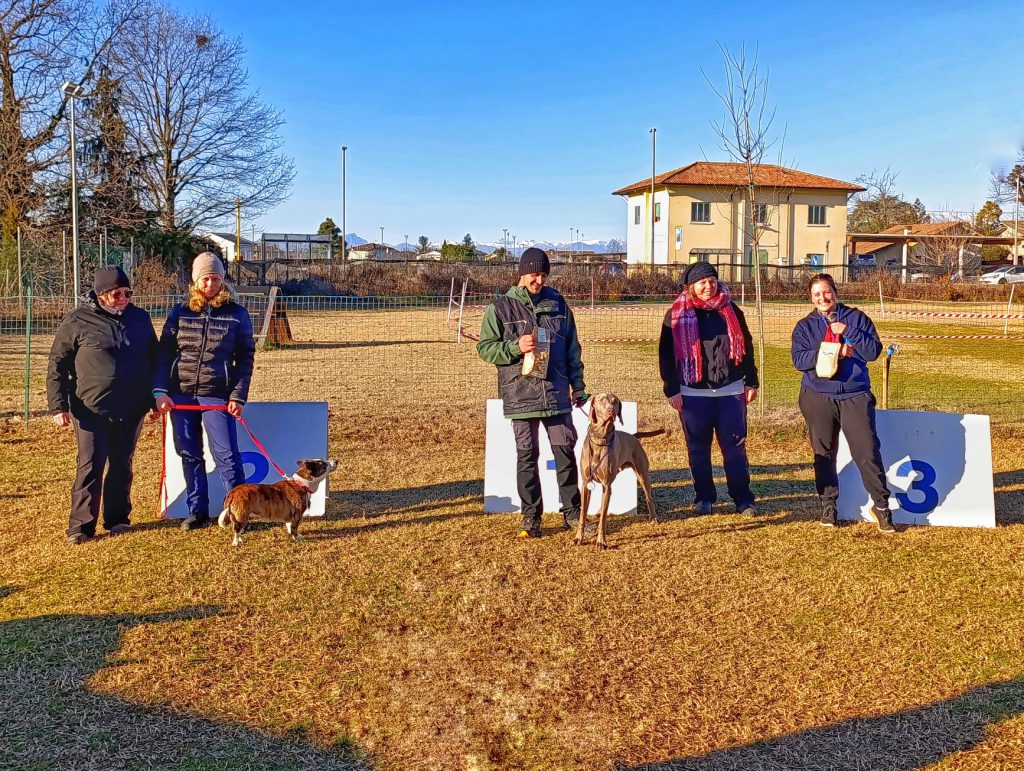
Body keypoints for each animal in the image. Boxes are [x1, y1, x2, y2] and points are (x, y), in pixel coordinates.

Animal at [577, 393, 662, 550]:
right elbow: (582, 514)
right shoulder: (586, 484)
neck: (600, 438)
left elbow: (603, 520)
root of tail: (634, 436)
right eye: (601, 400)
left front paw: (601, 542)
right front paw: (578, 538)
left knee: (649, 497)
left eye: (615, 401)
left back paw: (653, 517)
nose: (611, 410)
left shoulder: (606, 484)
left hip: (642, 474)